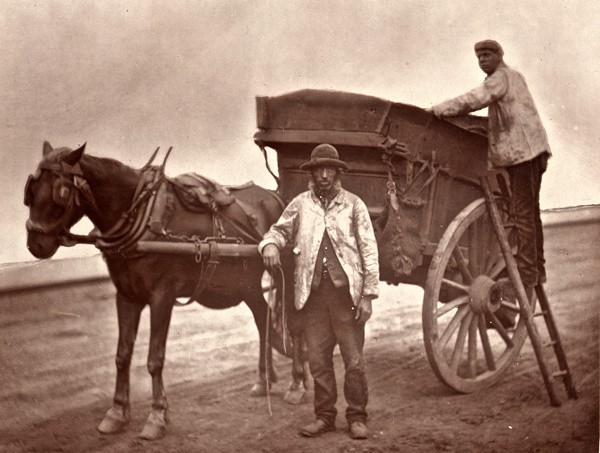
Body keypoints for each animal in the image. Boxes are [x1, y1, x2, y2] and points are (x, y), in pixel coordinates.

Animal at [24, 141, 292, 438]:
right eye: (30, 192)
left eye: (60, 192)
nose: (35, 244)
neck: (141, 216)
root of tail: (276, 196)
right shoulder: (126, 296)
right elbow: (122, 355)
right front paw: (117, 412)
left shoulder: (162, 297)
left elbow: (155, 358)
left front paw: (157, 416)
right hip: (248, 285)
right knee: (263, 320)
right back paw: (264, 380)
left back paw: (298, 385)